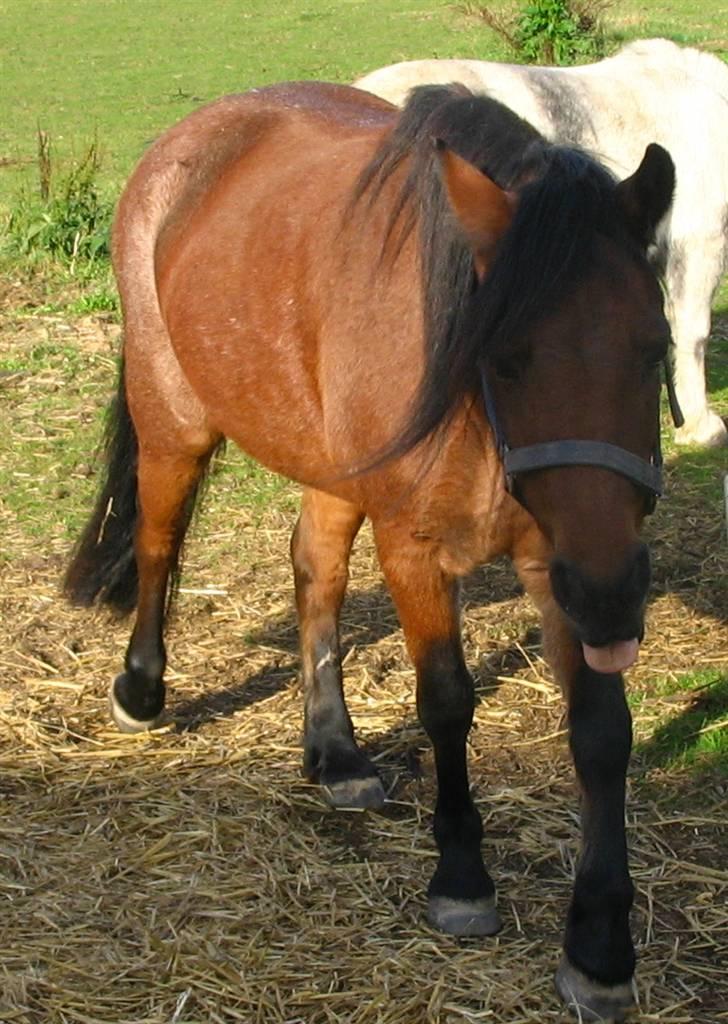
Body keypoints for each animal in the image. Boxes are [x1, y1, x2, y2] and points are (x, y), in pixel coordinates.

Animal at [67, 83, 675, 1019]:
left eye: (656, 349)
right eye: (508, 356)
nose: (612, 596)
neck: (470, 403)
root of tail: (201, 130)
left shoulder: (563, 561)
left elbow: (604, 734)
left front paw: (600, 944)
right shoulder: (416, 551)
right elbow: (447, 703)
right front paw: (461, 875)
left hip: (331, 463)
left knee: (314, 567)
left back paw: (336, 751)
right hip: (174, 418)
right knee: (159, 543)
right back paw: (141, 689)